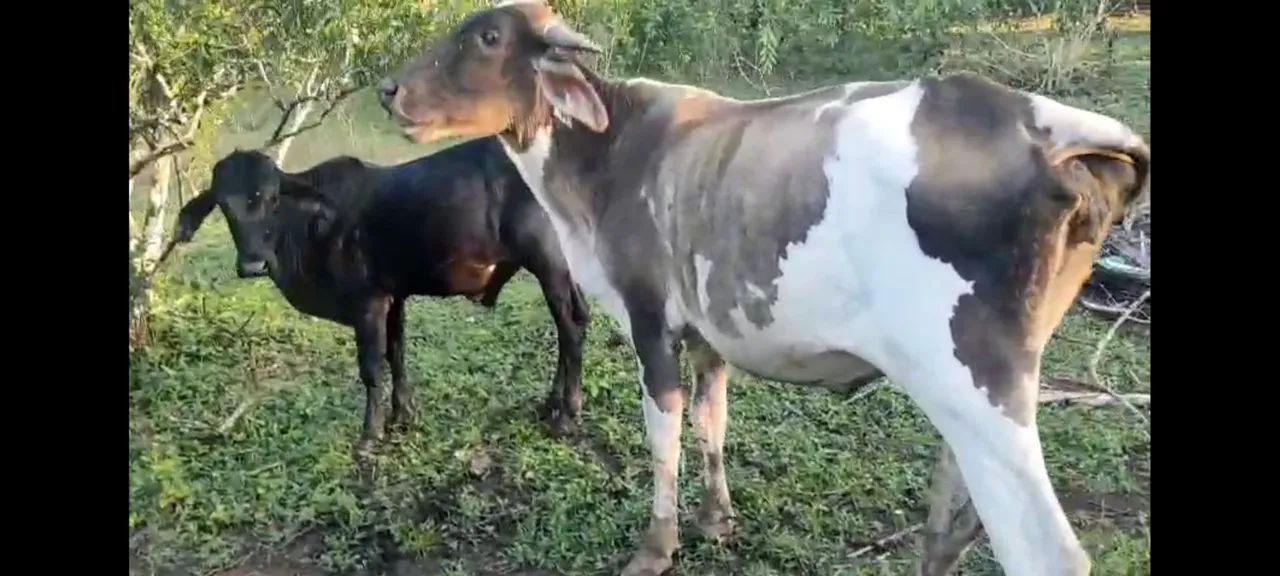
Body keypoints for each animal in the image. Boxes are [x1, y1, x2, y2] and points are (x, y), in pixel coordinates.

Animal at [170, 136, 591, 453]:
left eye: (273, 198)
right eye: (223, 205)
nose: (252, 265)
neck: (310, 227)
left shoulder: (367, 304)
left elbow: (372, 368)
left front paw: (370, 433)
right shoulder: (393, 298)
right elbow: (396, 354)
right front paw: (402, 414)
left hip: (549, 263)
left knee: (568, 326)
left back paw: (566, 415)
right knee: (577, 320)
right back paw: (551, 403)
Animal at [375, 2, 1150, 574]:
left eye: (488, 37)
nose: (389, 90)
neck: (605, 153)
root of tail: (1046, 125)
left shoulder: (649, 320)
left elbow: (664, 435)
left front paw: (658, 547)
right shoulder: (708, 334)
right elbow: (711, 421)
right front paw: (717, 520)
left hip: (978, 388)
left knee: (1042, 549)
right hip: (972, 399)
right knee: (953, 520)